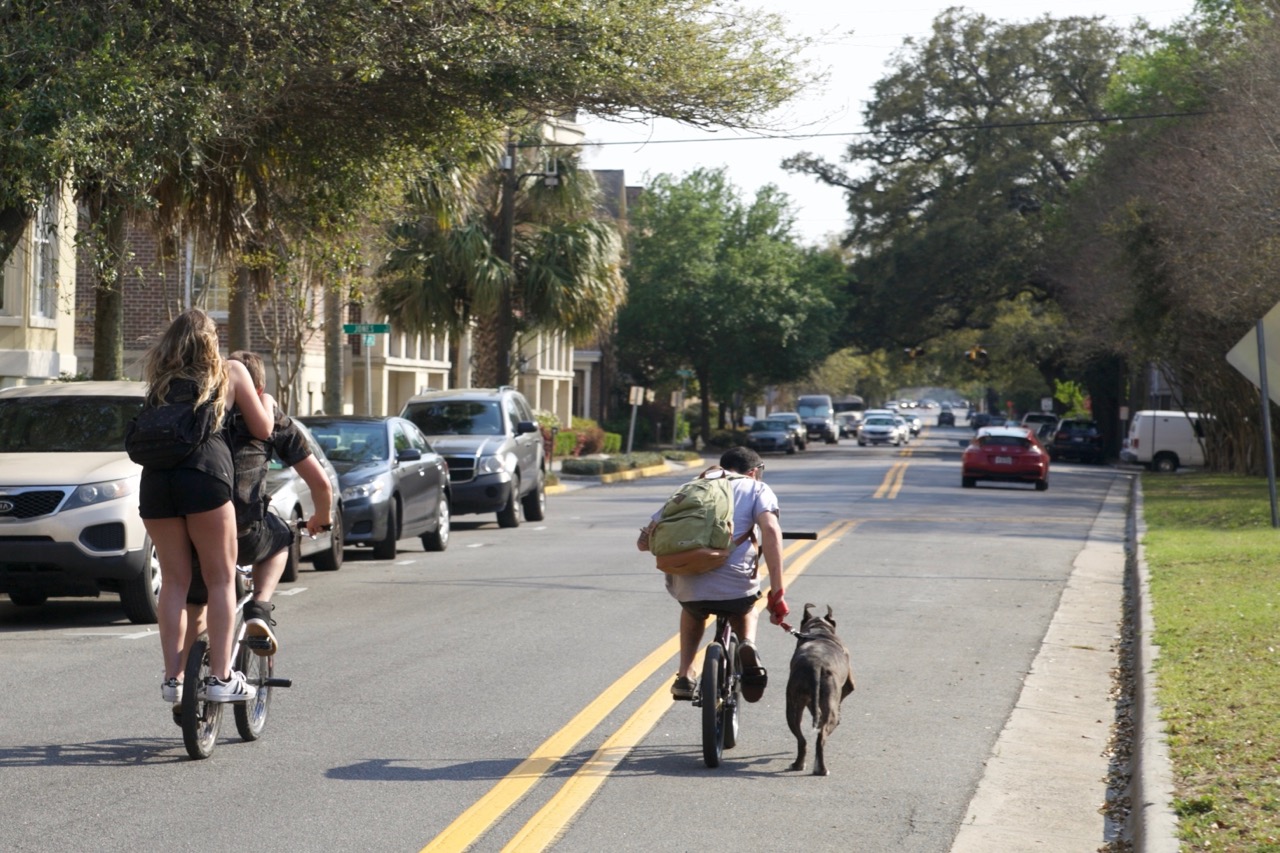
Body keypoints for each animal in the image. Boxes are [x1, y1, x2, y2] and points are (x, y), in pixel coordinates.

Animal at [783, 601, 855, 773]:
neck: (818, 630)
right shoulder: (848, 685)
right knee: (821, 738)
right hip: (829, 707)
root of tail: (815, 665)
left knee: (801, 739)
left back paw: (798, 764)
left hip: (793, 705)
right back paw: (821, 769)